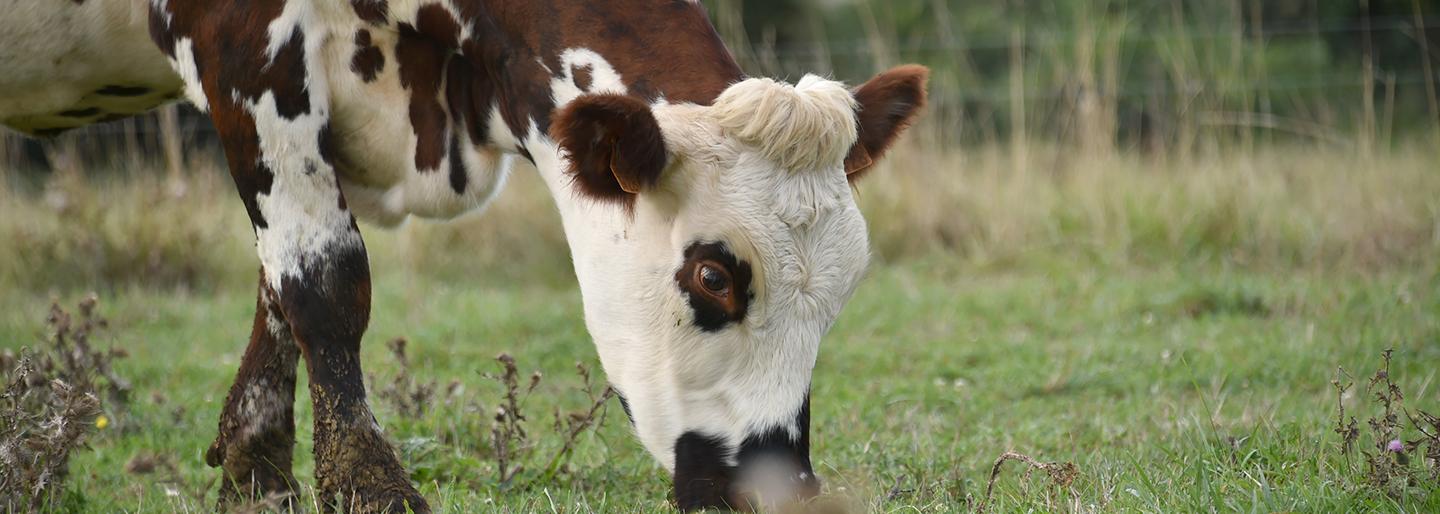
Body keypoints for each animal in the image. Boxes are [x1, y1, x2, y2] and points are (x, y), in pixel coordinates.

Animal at [1, 0, 928, 511]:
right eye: (714, 275)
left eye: (843, 290)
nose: (778, 495)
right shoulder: (248, 53)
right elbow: (323, 280)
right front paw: (367, 487)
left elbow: (277, 289)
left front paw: (255, 474)